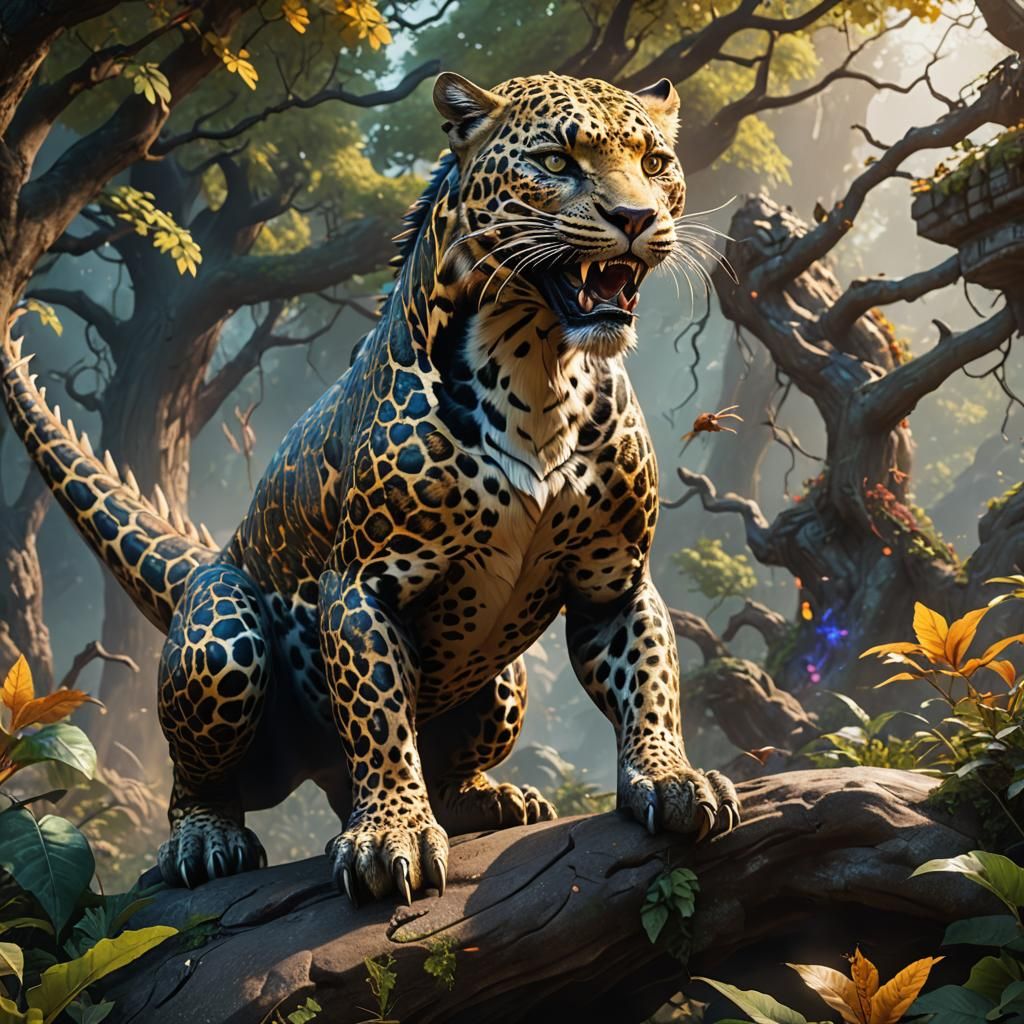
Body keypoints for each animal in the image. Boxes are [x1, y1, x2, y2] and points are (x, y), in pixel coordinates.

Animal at [1, 70, 740, 905]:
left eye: (654, 163)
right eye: (556, 162)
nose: (637, 217)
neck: (539, 367)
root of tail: (210, 555)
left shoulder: (613, 580)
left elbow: (651, 681)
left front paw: (674, 779)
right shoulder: (365, 582)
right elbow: (380, 712)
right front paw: (391, 835)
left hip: (506, 680)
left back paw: (494, 800)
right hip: (218, 641)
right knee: (194, 777)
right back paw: (206, 841)